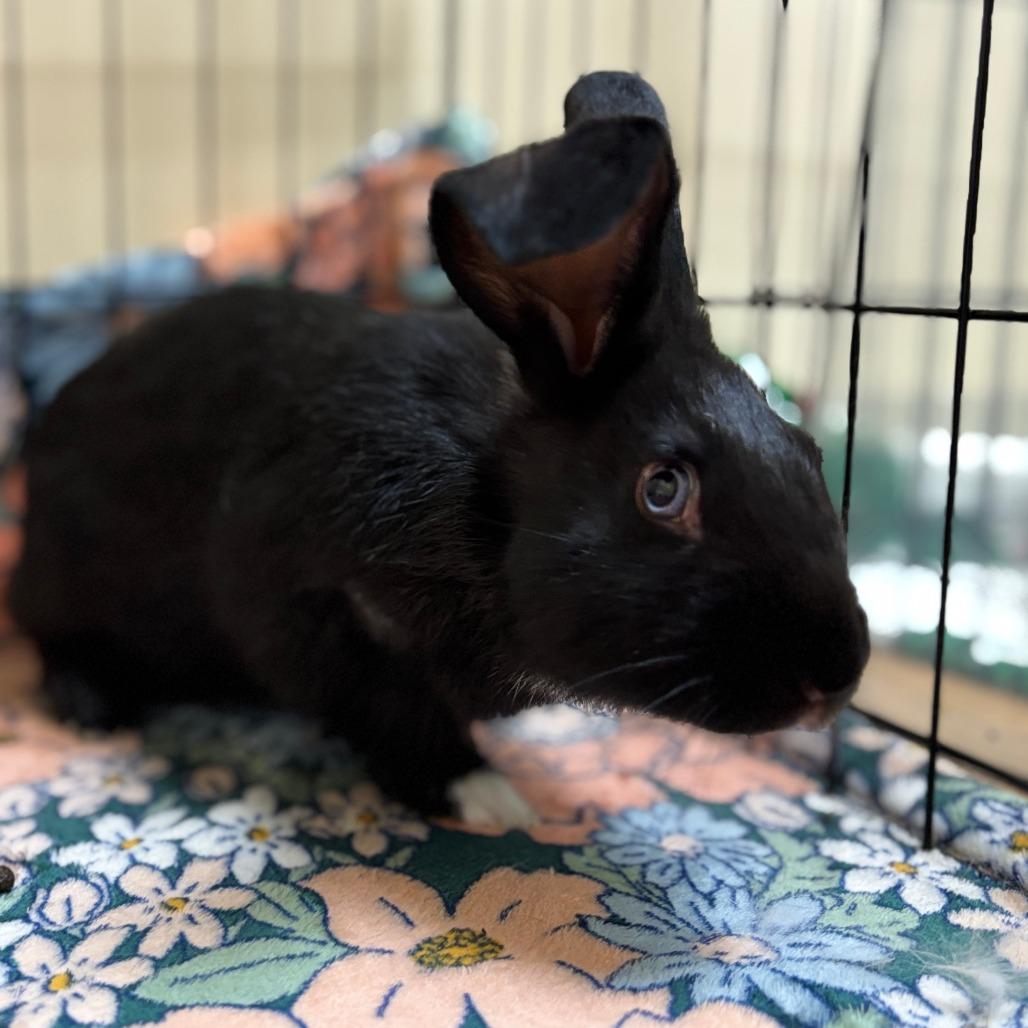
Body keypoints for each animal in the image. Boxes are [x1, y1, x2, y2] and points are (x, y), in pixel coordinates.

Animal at [9, 72, 870, 818]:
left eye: (807, 449)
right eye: (663, 489)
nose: (836, 674)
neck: (481, 501)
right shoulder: (295, 593)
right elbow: (387, 706)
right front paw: (486, 794)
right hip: (69, 575)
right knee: (49, 635)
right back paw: (91, 706)